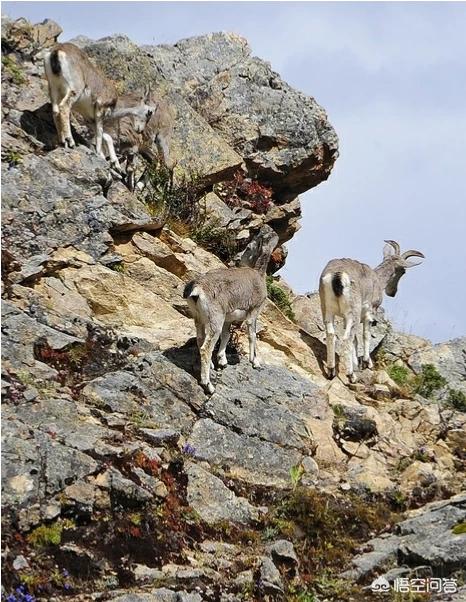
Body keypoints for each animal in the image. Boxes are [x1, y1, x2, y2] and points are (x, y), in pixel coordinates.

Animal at [183, 225, 278, 394]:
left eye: (248, 247)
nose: (238, 259)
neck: (258, 275)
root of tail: (196, 289)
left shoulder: (228, 320)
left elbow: (226, 336)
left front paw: (222, 361)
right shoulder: (253, 312)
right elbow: (252, 335)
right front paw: (255, 362)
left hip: (198, 318)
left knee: (201, 340)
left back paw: (211, 367)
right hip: (215, 320)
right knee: (206, 348)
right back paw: (208, 386)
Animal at [318, 239, 424, 380]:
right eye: (403, 271)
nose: (393, 293)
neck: (377, 279)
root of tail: (337, 276)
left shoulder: (345, 318)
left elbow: (356, 341)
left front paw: (356, 364)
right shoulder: (370, 313)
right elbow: (365, 335)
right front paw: (367, 363)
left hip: (327, 309)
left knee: (331, 334)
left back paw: (331, 371)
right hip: (353, 312)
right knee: (347, 338)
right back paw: (351, 376)